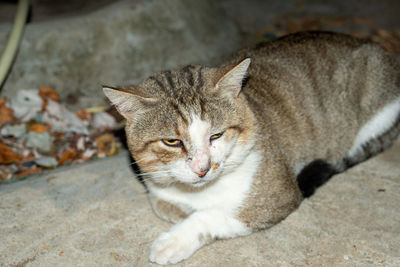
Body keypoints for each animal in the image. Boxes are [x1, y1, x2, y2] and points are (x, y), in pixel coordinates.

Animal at [102, 31, 400, 266]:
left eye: (216, 135)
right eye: (172, 142)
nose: (202, 169)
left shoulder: (279, 196)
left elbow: (214, 215)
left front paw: (173, 241)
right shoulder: (158, 192)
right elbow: (166, 206)